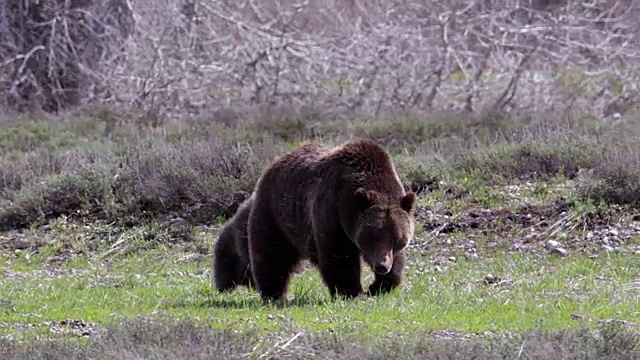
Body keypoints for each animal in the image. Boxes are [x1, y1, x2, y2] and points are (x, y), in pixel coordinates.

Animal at [248, 139, 418, 302]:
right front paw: (353, 292)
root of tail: (276, 162)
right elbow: (339, 256)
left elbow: (396, 261)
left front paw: (378, 286)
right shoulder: (332, 210)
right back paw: (274, 294)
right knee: (272, 253)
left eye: (398, 239)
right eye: (372, 237)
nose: (382, 266)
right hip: (276, 212)